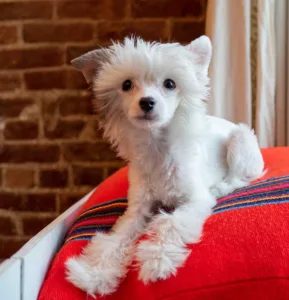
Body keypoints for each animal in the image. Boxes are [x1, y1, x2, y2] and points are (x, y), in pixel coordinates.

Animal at [65, 36, 264, 296]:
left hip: (240, 142)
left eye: (170, 84)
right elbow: (116, 239)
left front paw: (157, 260)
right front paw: (94, 273)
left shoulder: (194, 201)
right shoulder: (137, 211)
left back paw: (220, 188)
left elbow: (170, 223)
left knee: (239, 179)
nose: (147, 102)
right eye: (126, 84)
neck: (156, 149)